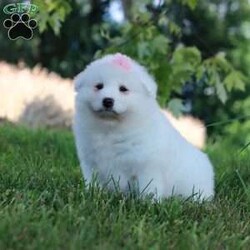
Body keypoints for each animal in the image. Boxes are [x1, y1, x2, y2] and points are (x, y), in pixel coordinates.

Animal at [73, 53, 214, 200]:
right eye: (99, 86)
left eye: (123, 89)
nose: (107, 101)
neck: (111, 127)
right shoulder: (90, 162)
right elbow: (93, 182)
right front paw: (91, 194)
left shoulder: (147, 166)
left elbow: (148, 187)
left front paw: (147, 201)